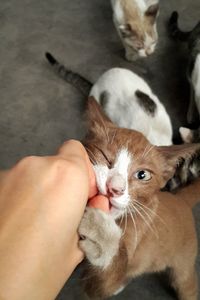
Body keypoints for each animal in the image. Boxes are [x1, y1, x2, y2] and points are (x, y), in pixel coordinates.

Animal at [79, 97, 200, 298]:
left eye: (142, 175)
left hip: (184, 265)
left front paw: (102, 233)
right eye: (104, 156)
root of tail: (181, 199)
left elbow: (107, 281)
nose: (114, 189)